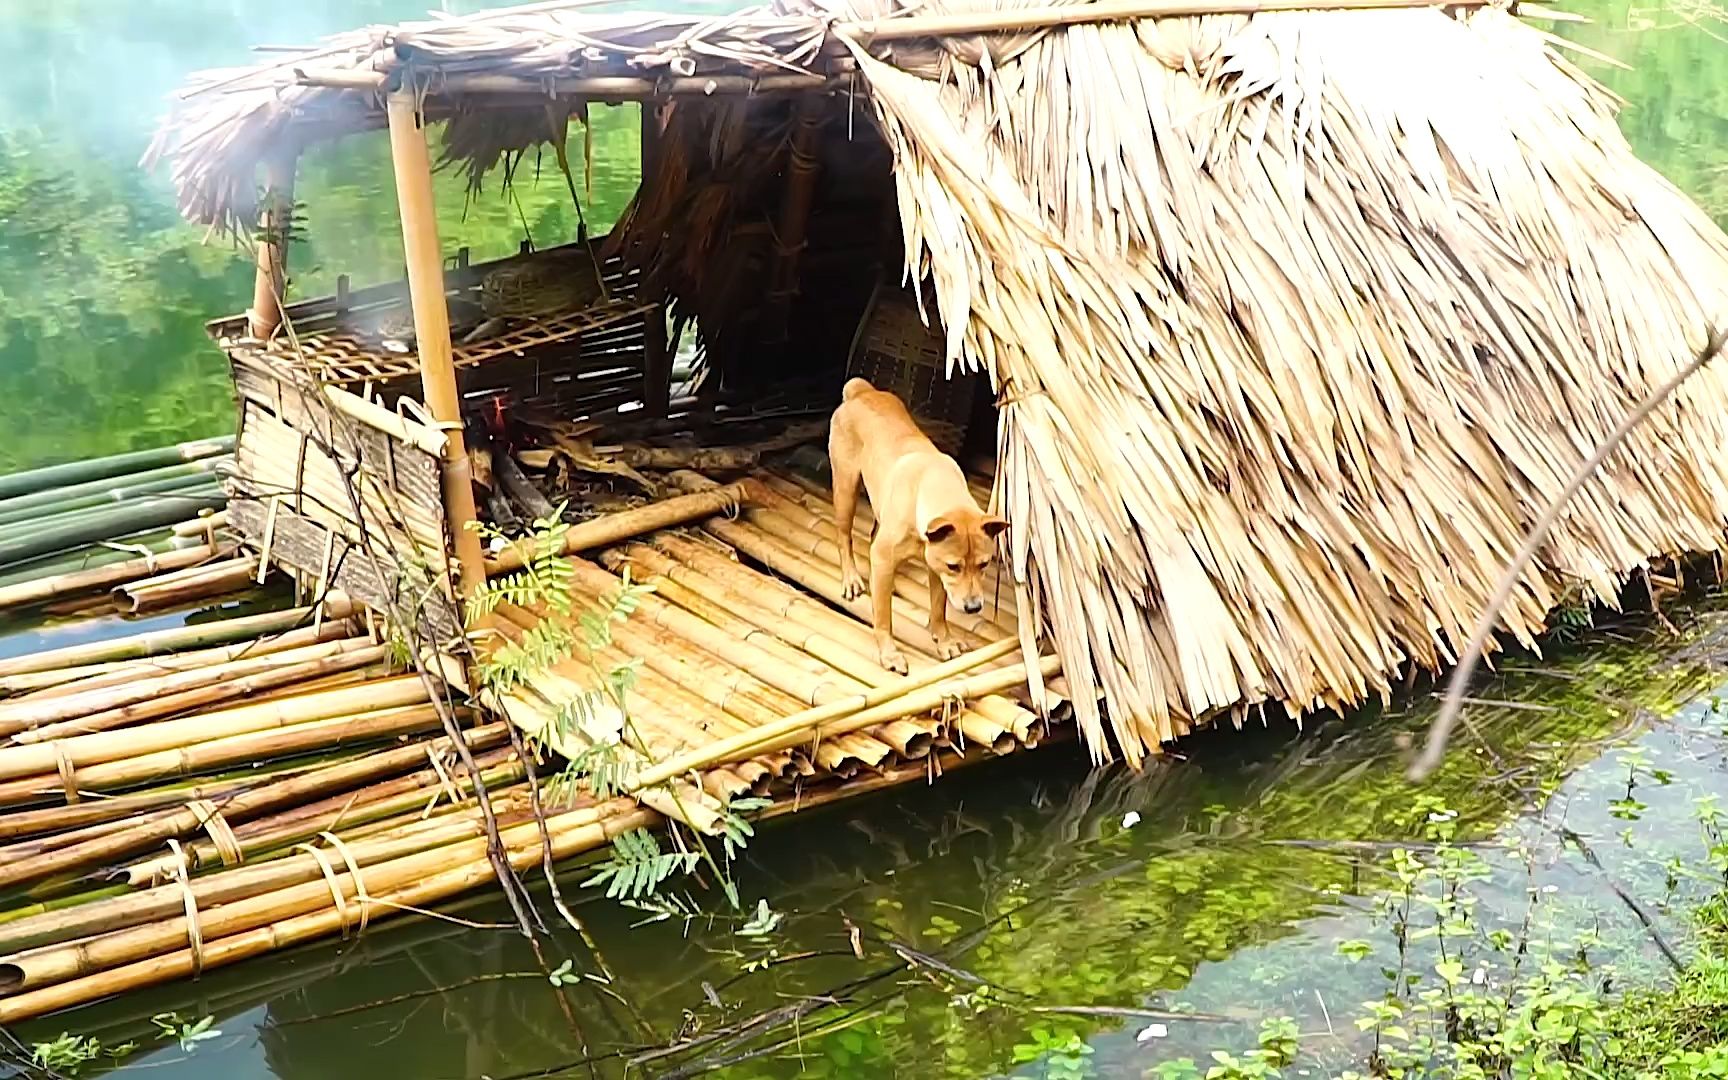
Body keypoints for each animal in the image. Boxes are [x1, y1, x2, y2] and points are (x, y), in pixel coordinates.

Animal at [829, 374, 1009, 670]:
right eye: (954, 566)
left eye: (984, 564)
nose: (973, 607)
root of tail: (860, 392)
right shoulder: (892, 557)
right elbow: (884, 618)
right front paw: (889, 653)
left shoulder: (935, 567)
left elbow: (938, 608)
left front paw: (944, 640)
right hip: (845, 488)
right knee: (845, 536)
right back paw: (851, 578)